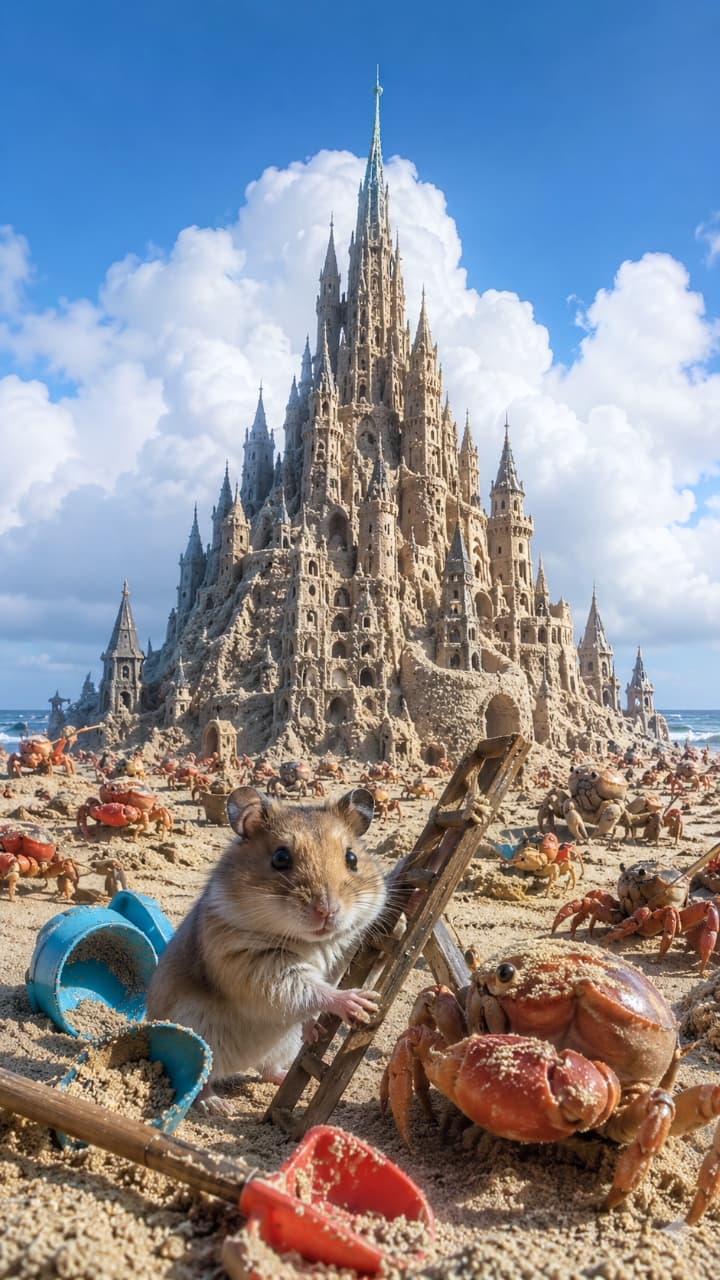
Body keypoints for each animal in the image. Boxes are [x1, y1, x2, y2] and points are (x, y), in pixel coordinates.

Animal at [146, 784, 386, 1091]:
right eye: (280, 858)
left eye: (352, 858)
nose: (327, 911)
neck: (314, 941)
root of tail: (240, 1065)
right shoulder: (254, 966)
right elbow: (309, 989)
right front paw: (359, 1003)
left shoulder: (343, 956)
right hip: (199, 1041)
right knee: (204, 1082)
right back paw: (215, 1100)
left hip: (284, 1046)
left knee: (267, 1069)